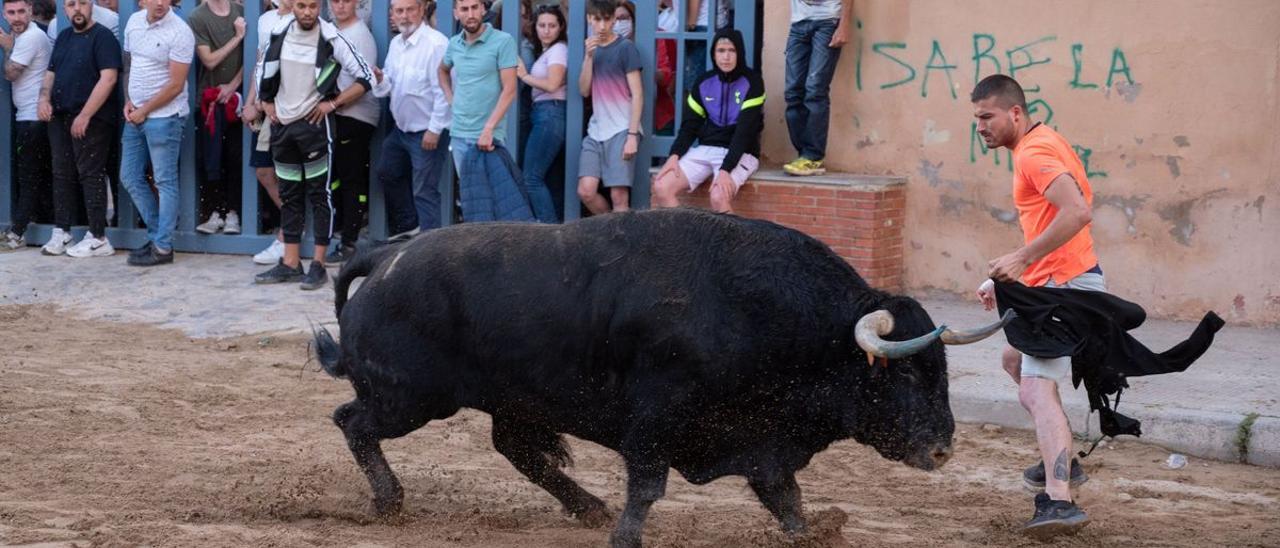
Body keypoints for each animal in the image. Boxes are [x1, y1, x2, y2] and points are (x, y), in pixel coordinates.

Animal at [312, 207, 1008, 545]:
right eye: (907, 376)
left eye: (942, 371)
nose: (942, 449)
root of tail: (385, 255)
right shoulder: (656, 422)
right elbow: (647, 488)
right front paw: (625, 536)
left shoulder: (758, 439)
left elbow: (785, 498)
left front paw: (810, 534)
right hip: (410, 398)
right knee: (351, 421)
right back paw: (389, 500)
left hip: (504, 401)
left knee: (517, 449)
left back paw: (585, 507)